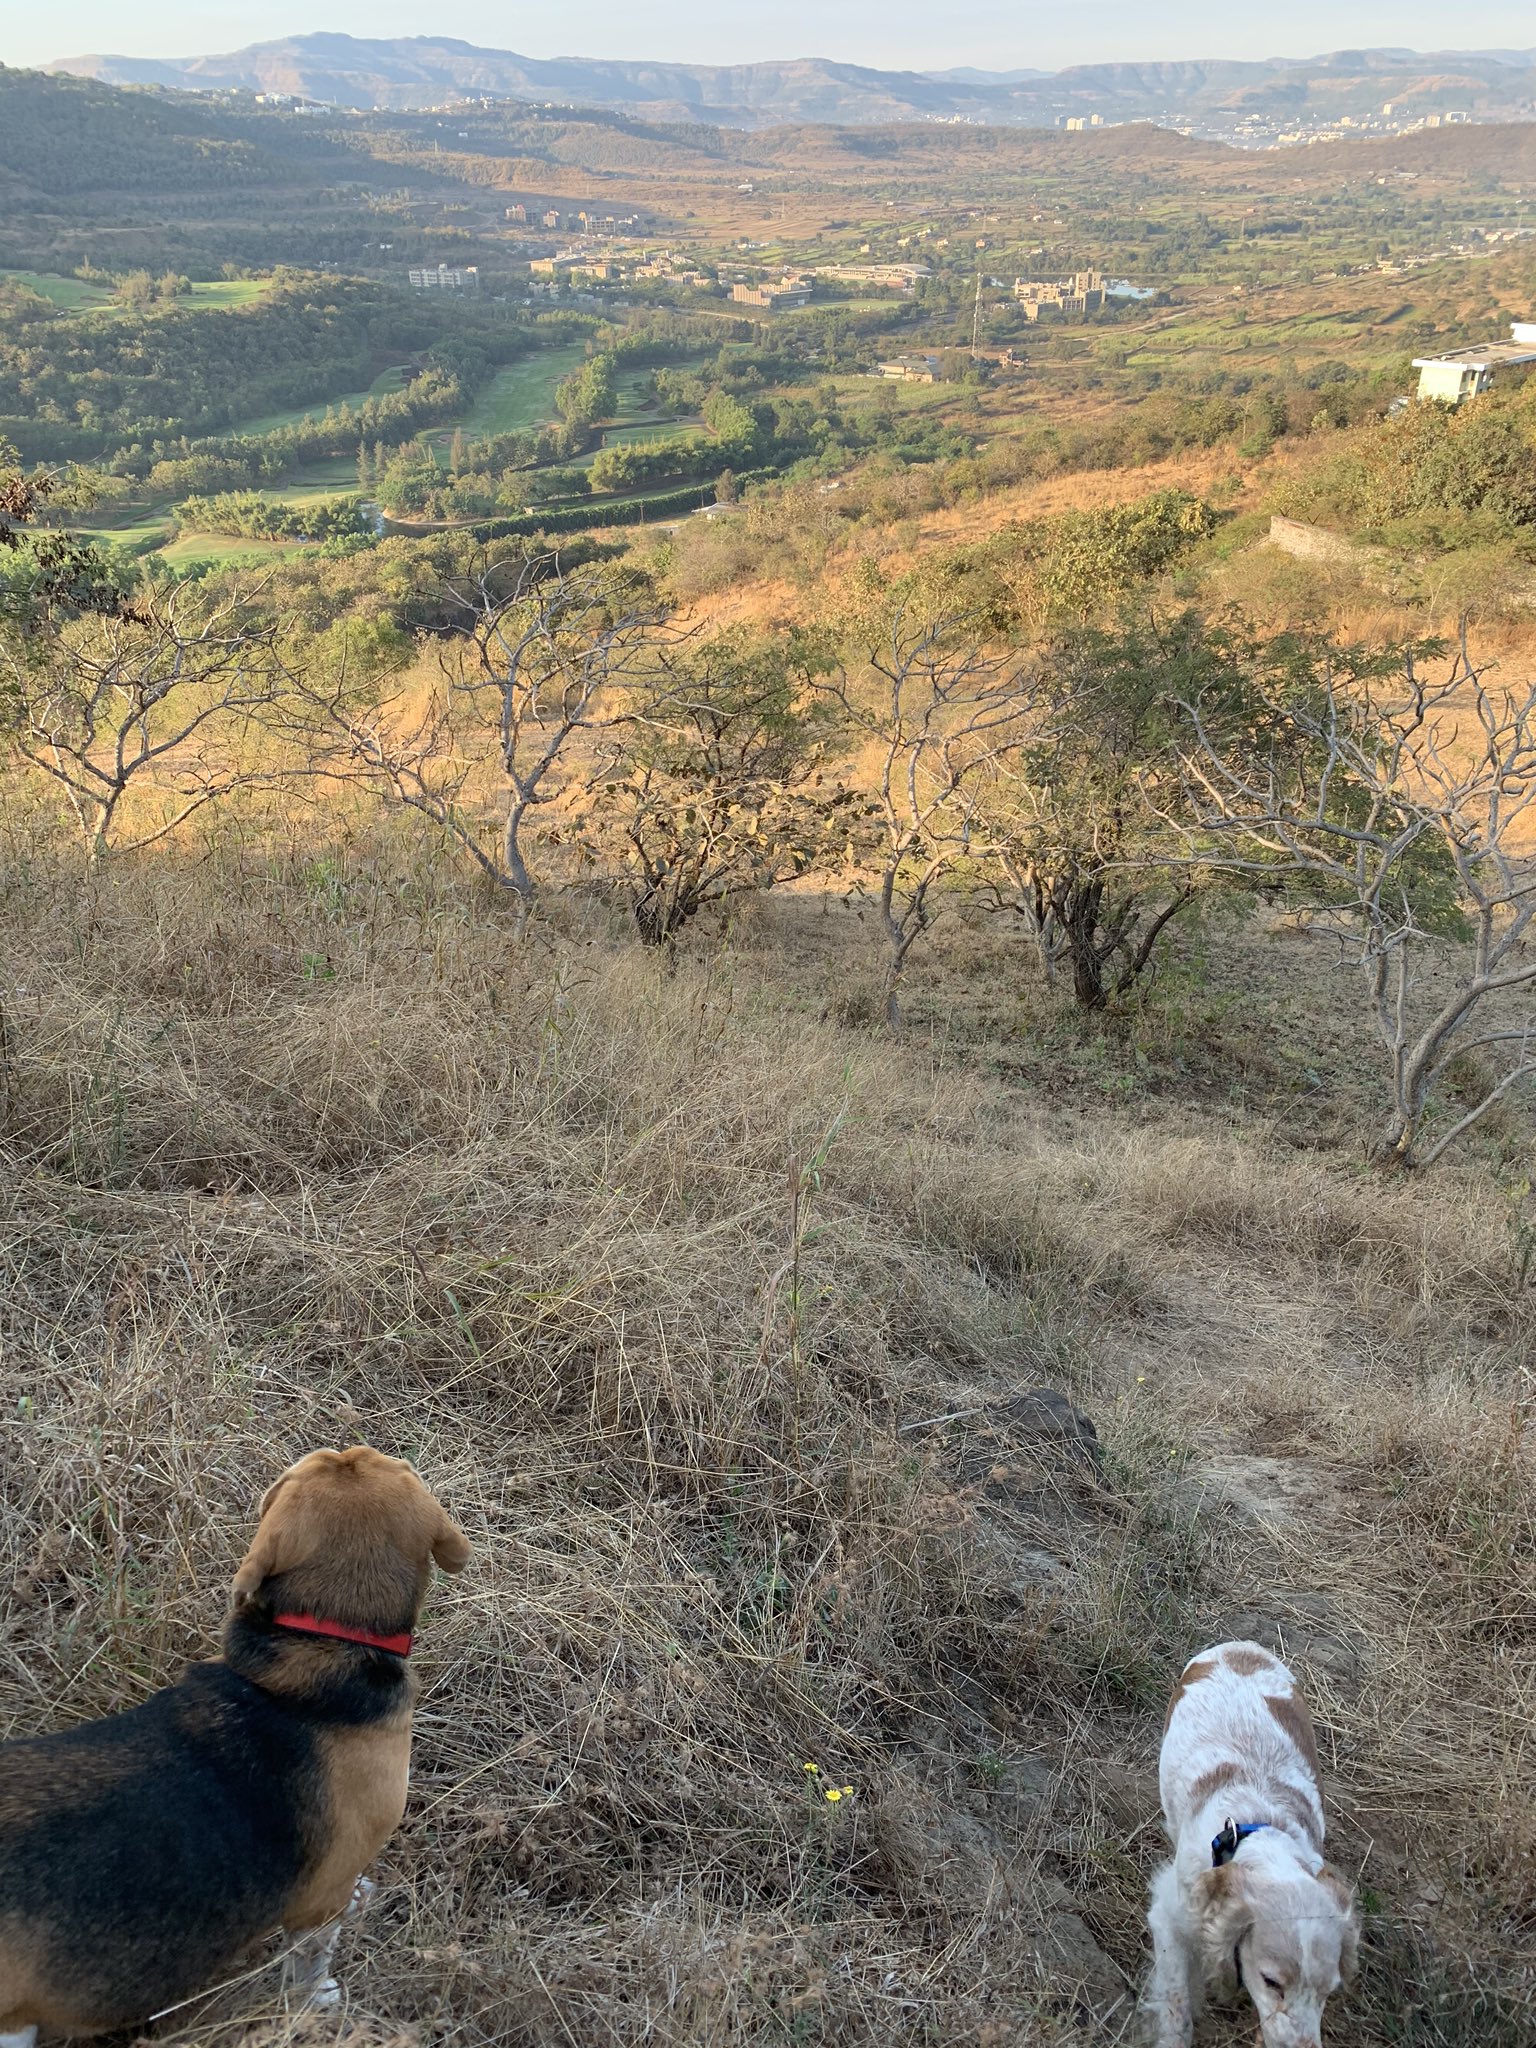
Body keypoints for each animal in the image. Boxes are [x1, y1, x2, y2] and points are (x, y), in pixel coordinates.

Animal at [1143, 1640, 1359, 2048]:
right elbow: (1176, 2006)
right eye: (1271, 1982)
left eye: (1328, 1991)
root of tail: (1241, 1647)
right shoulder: (1169, 1915)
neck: (1258, 1833)